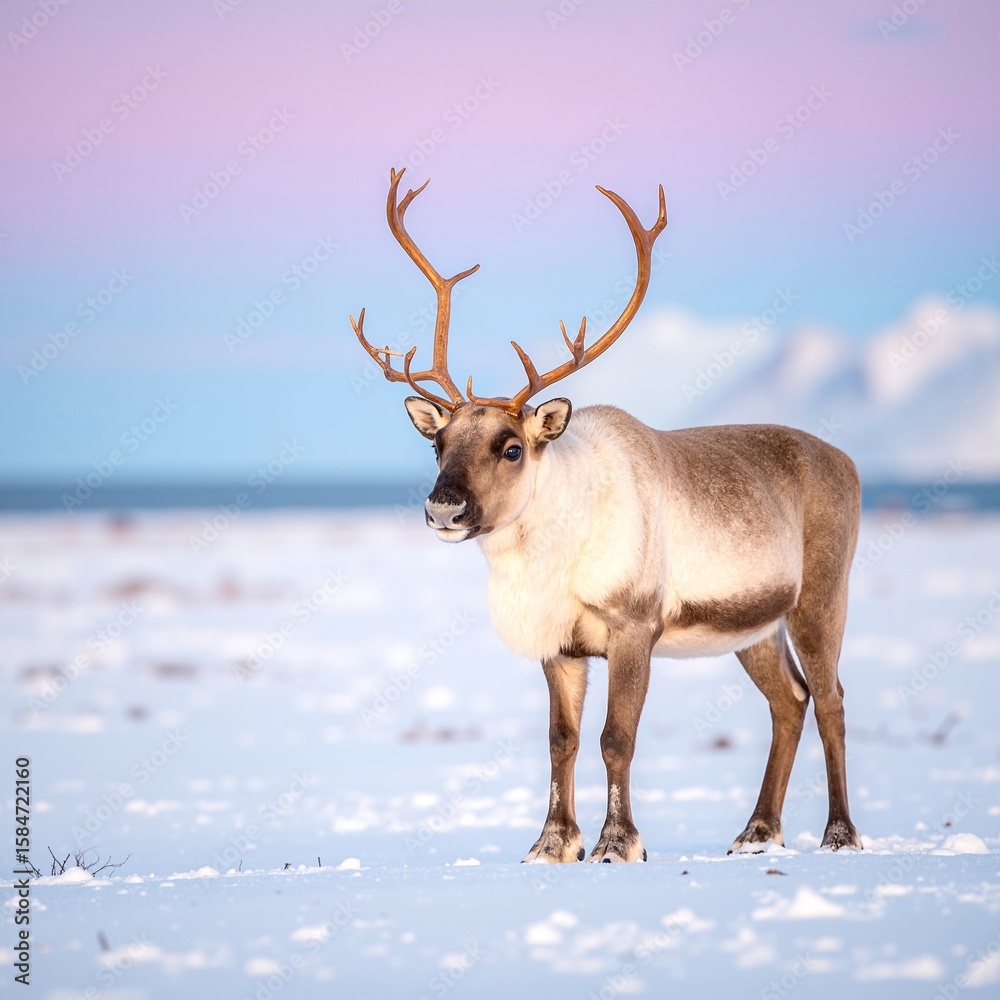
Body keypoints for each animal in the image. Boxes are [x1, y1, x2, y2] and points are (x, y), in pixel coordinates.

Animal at [350, 167, 863, 863]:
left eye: (511, 447)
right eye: (438, 443)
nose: (443, 507)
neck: (551, 556)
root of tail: (846, 462)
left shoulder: (633, 626)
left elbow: (616, 737)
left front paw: (618, 843)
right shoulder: (561, 644)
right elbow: (560, 740)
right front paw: (551, 843)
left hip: (821, 596)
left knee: (831, 699)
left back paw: (839, 834)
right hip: (754, 625)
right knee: (790, 701)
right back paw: (757, 833)